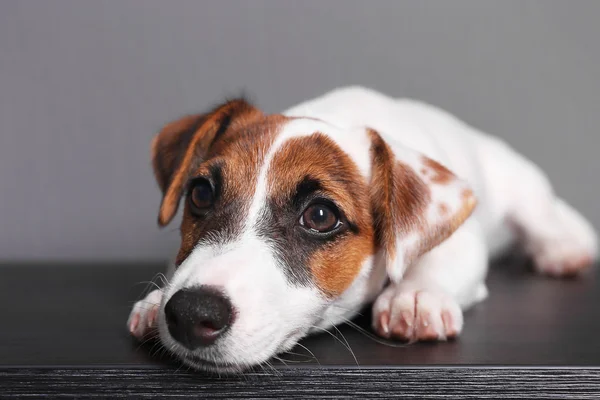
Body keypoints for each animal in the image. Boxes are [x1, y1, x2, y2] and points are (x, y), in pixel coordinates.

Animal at [126, 86, 596, 372]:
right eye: (201, 193)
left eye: (320, 216)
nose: (190, 313)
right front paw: (154, 300)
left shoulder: (463, 237)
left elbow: (438, 260)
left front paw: (415, 296)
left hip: (519, 185)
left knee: (544, 214)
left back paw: (563, 248)